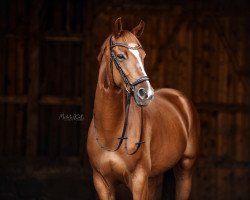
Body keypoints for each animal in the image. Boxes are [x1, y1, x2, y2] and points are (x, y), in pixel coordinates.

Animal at [87, 18, 200, 199]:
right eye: (120, 56)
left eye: (143, 55)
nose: (146, 93)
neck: (111, 134)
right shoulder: (102, 183)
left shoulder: (139, 181)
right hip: (153, 178)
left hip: (185, 169)